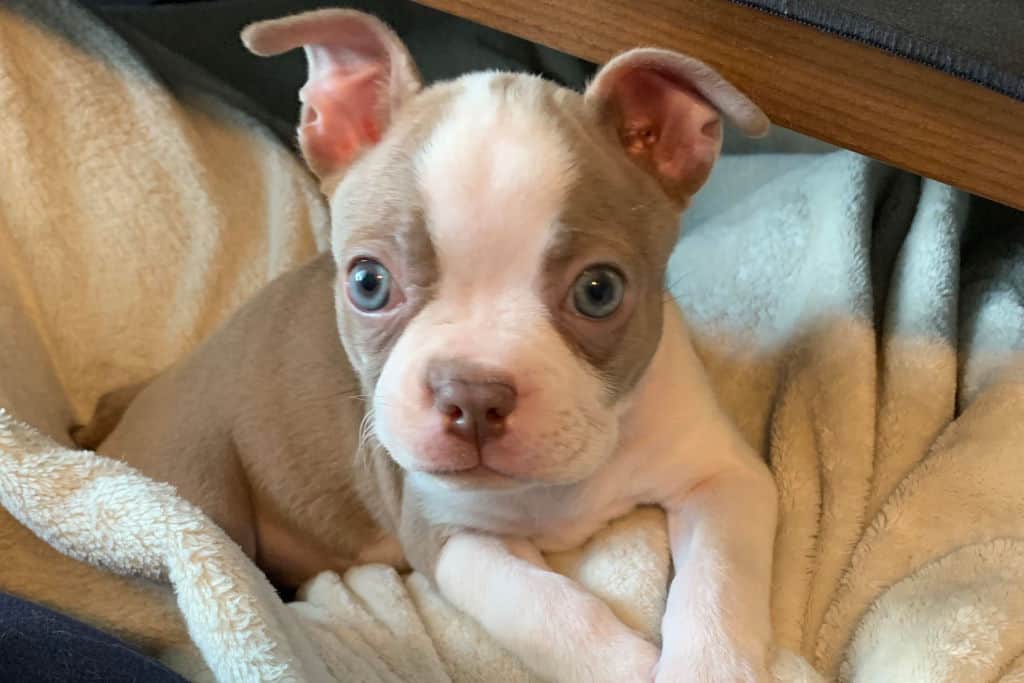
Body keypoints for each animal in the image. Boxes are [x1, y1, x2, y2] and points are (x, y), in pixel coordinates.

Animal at [83, 10, 778, 683]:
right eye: (368, 282)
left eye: (599, 292)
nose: (472, 394)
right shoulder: (449, 535)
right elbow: (549, 611)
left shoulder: (725, 479)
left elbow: (719, 586)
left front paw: (709, 668)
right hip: (201, 487)